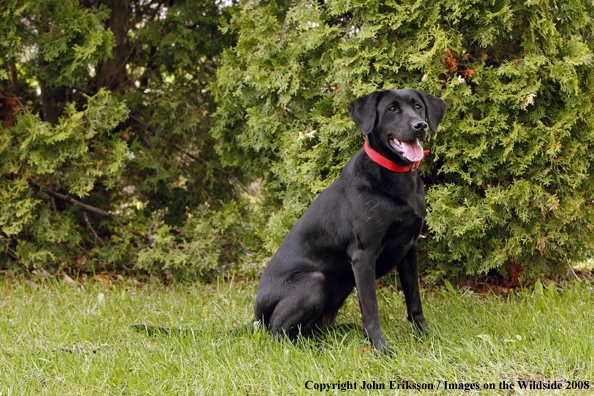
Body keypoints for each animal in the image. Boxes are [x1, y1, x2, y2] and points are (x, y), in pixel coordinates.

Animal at [253, 88, 444, 354]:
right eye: (392, 109)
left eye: (418, 107)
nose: (420, 126)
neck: (395, 176)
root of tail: (257, 319)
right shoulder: (363, 255)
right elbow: (371, 310)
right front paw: (381, 349)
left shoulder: (409, 249)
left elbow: (414, 300)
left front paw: (426, 336)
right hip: (314, 282)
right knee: (281, 334)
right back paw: (318, 349)